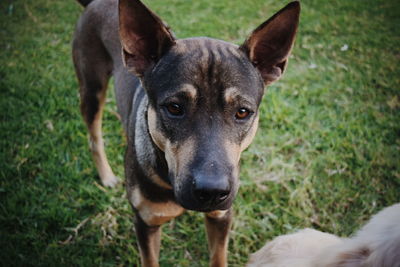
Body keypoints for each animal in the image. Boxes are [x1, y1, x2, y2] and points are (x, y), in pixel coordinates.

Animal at [72, 0, 300, 266]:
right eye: (174, 108)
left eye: (242, 112)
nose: (212, 191)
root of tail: (94, 3)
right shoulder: (146, 222)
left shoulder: (221, 216)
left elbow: (218, 257)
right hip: (91, 89)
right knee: (94, 136)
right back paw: (107, 175)